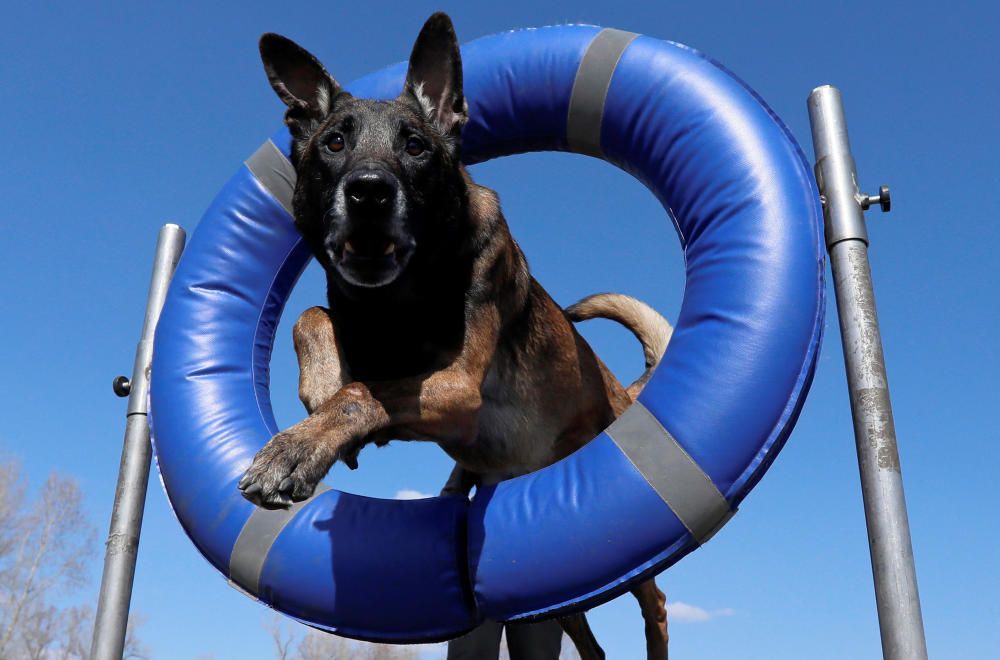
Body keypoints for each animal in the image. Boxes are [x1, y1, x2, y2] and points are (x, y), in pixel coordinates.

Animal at [236, 12, 672, 656]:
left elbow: (363, 392)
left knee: (656, 600)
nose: (369, 191)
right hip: (553, 591)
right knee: (583, 636)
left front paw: (295, 447)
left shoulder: (458, 384)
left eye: (414, 146)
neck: (401, 296)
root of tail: (627, 392)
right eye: (334, 143)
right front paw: (319, 390)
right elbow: (310, 317)